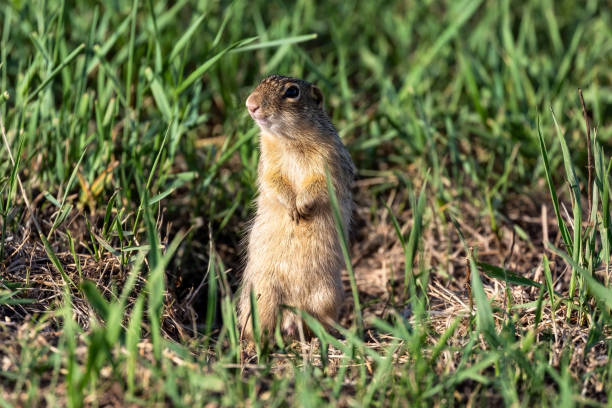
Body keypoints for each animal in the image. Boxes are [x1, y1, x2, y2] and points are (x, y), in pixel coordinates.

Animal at [238, 74, 354, 342]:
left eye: (292, 92)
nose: (250, 104)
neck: (290, 142)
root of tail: (292, 312)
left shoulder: (329, 163)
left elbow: (318, 186)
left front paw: (301, 207)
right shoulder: (268, 165)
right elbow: (274, 183)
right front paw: (293, 209)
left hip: (327, 296)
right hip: (260, 298)